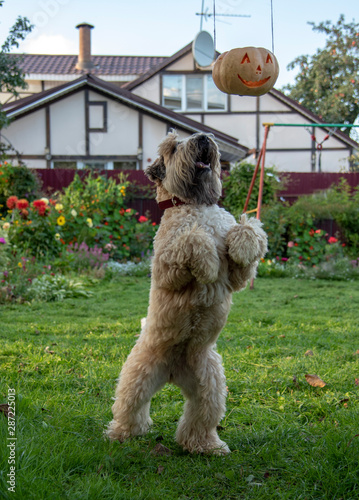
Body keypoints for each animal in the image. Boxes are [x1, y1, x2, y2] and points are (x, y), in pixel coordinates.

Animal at [108, 131, 268, 456]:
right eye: (173, 146)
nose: (203, 137)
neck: (196, 204)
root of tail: (172, 373)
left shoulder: (237, 277)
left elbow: (245, 231)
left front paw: (242, 245)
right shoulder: (165, 268)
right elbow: (194, 238)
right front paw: (207, 266)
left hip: (211, 383)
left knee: (199, 419)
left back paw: (206, 445)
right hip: (139, 374)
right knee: (129, 407)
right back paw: (122, 433)